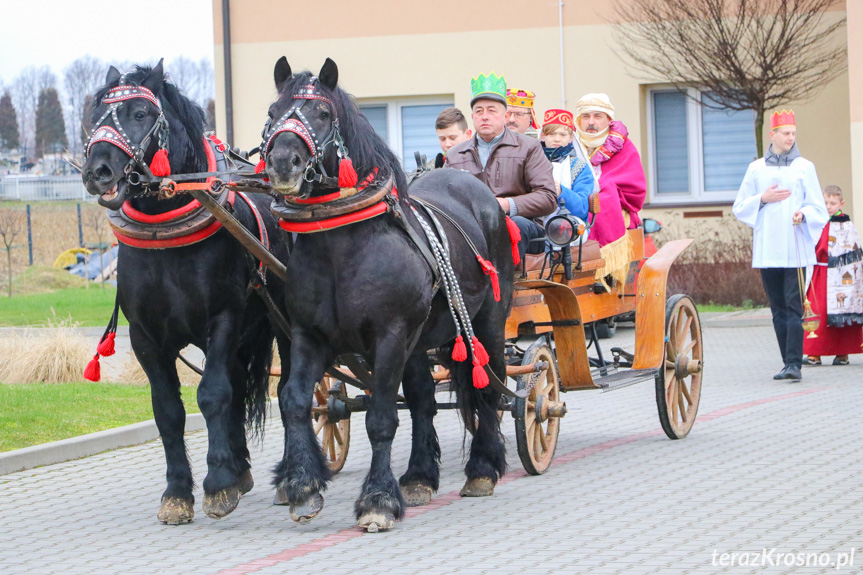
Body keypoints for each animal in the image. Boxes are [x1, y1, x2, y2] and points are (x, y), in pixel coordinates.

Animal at [82, 63, 290, 528]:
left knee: (290, 387)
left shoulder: (223, 321)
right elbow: (168, 410)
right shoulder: (145, 336)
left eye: (141, 113)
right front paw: (178, 492)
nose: (97, 170)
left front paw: (217, 486)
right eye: (94, 114)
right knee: (236, 386)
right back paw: (240, 467)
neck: (167, 236)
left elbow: (211, 395)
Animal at [260, 56, 510, 532]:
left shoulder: (390, 335)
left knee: (488, 386)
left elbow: (380, 417)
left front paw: (377, 500)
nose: (283, 161)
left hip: (487, 322)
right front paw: (303, 487)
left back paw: (483, 469)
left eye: (323, 113)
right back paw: (418, 477)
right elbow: (295, 401)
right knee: (424, 401)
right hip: (420, 341)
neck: (342, 242)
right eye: (272, 111)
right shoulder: (308, 335)